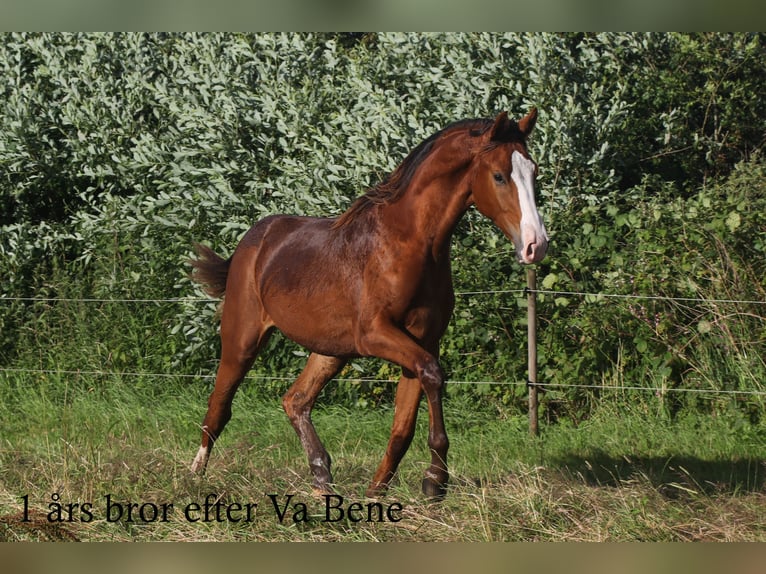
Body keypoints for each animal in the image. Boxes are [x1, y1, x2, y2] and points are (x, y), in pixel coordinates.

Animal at [192, 109, 552, 500]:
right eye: (499, 175)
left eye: (534, 172)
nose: (536, 245)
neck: (410, 244)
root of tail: (252, 241)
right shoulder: (375, 334)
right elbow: (433, 374)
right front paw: (435, 480)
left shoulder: (423, 340)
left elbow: (404, 423)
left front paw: (380, 489)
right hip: (242, 341)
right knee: (219, 407)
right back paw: (195, 476)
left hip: (331, 350)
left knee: (296, 400)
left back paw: (322, 475)